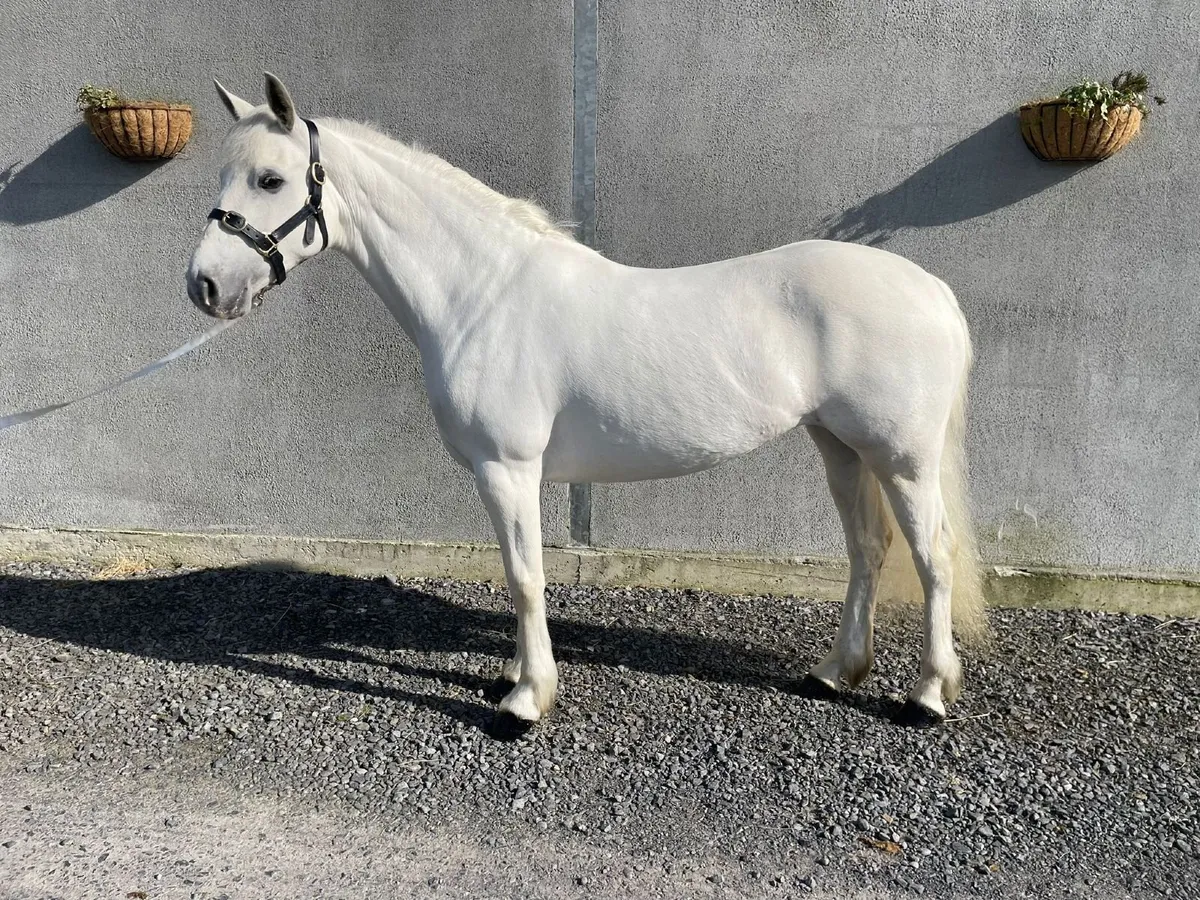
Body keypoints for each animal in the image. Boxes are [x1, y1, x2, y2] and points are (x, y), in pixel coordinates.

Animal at [187, 73, 984, 738]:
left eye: (270, 178)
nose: (205, 286)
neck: (482, 295)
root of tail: (933, 291)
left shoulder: (507, 467)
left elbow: (524, 576)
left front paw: (525, 702)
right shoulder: (510, 474)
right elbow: (519, 572)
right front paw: (512, 674)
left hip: (903, 460)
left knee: (933, 556)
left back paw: (926, 696)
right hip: (840, 446)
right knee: (868, 548)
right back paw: (833, 674)